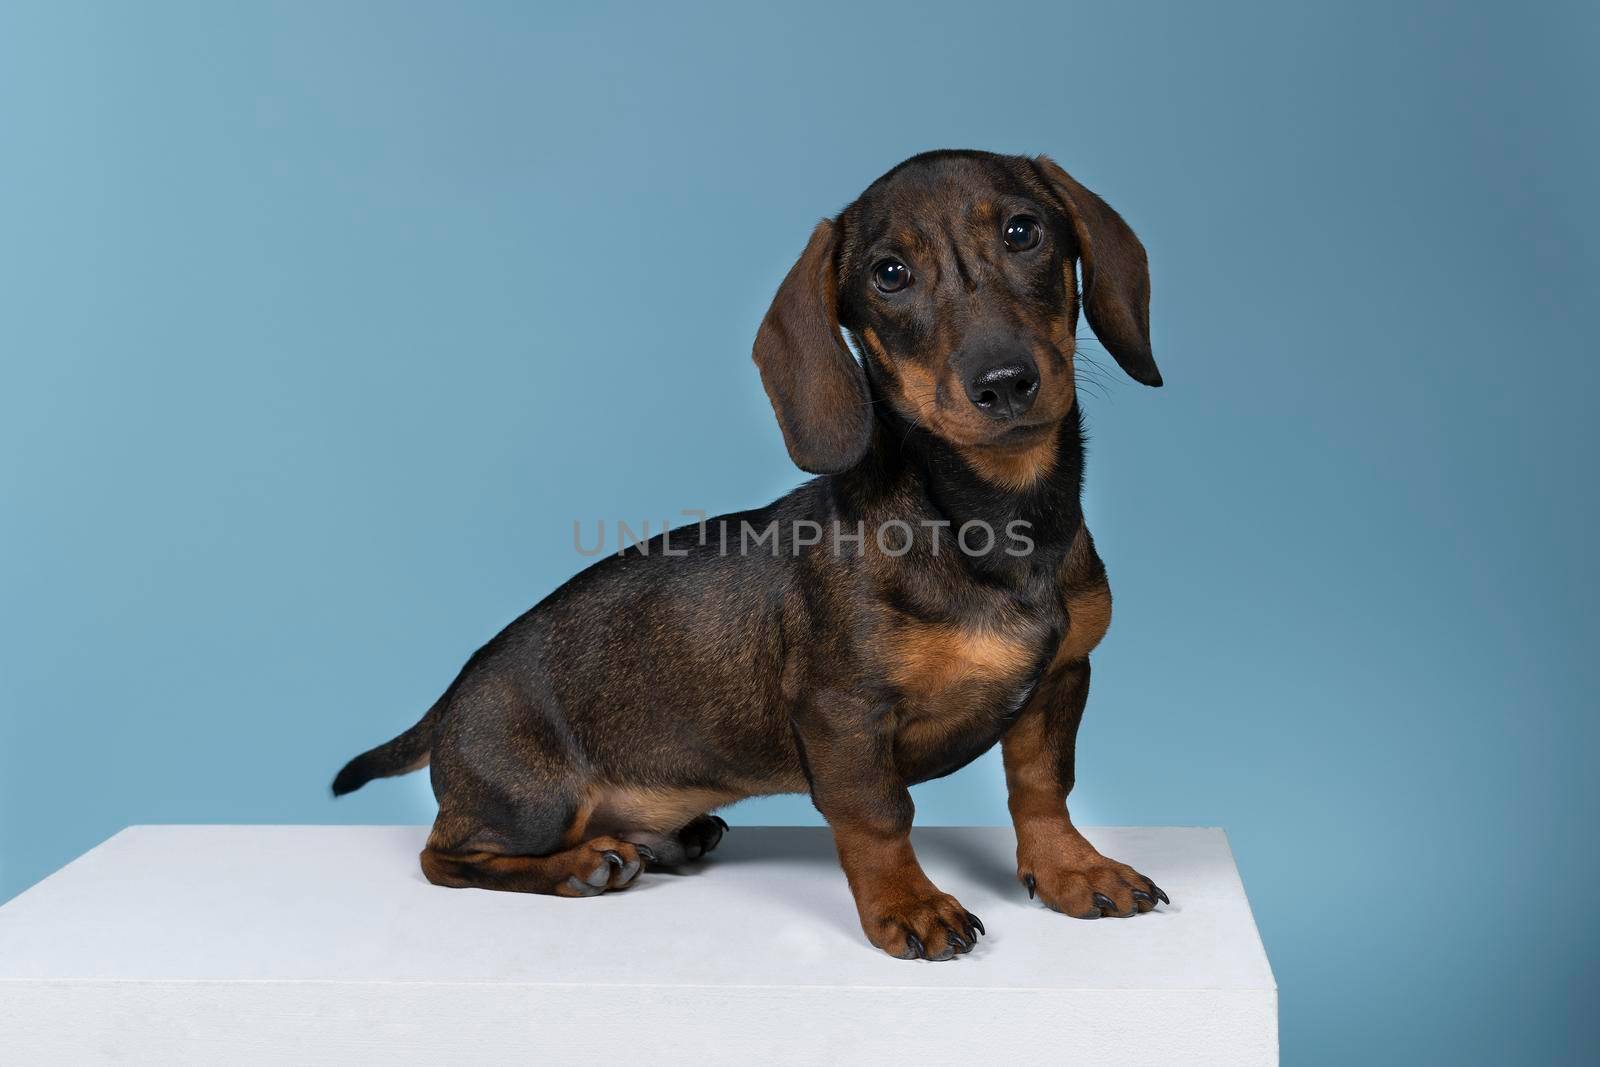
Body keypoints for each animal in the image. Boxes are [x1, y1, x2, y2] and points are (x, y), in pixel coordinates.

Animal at [331, 147, 1171, 959]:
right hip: (533, 801)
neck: (994, 519)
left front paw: (1071, 869)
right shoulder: (843, 713)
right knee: (444, 856)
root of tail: (450, 698)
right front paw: (908, 904)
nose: (1003, 381)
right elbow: (880, 816)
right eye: (889, 274)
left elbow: (1041, 786)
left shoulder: (1062, 676)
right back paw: (583, 864)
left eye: (1024, 232)